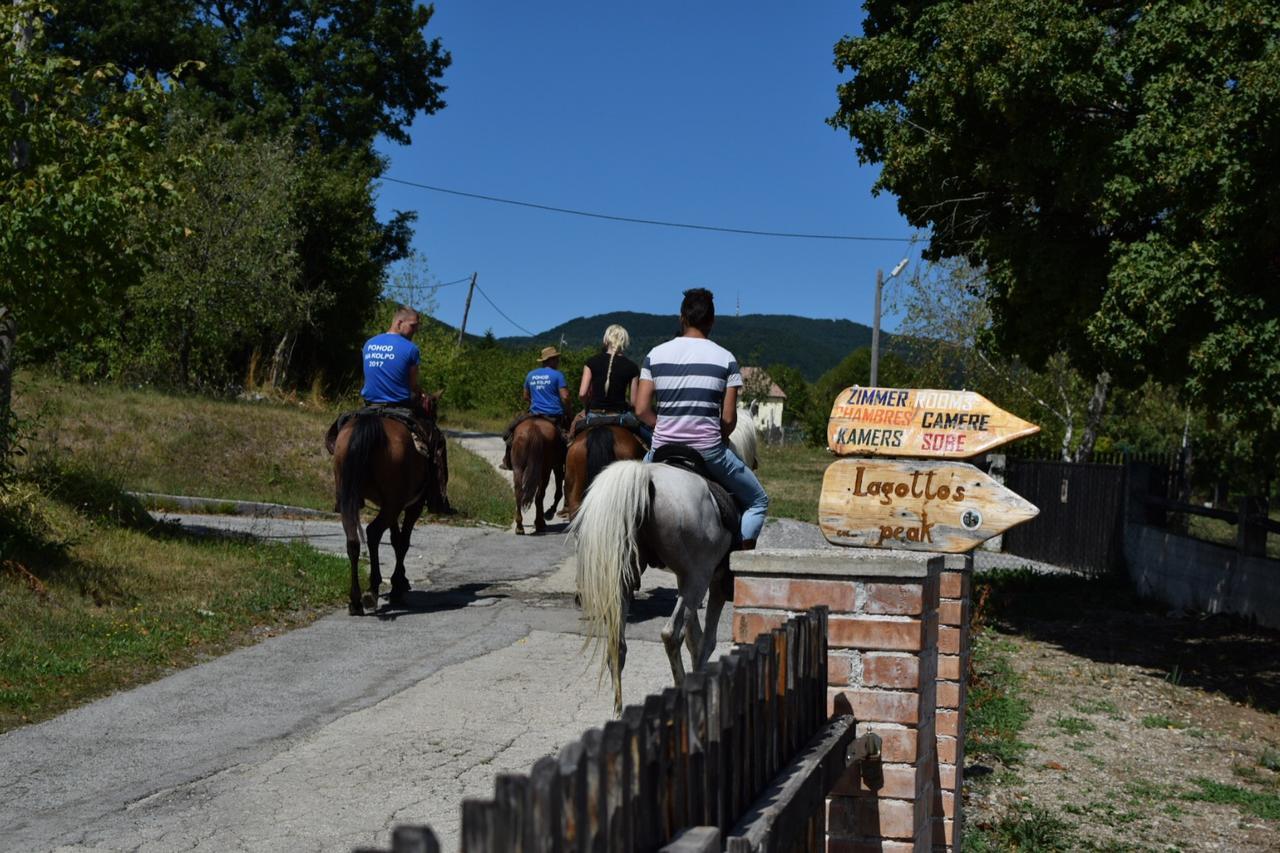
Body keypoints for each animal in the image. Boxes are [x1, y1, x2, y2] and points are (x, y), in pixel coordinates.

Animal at [330, 394, 445, 614]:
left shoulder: (391, 504)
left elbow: (394, 538)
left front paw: (400, 581)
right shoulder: (411, 505)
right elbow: (402, 542)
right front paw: (398, 585)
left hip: (353, 499)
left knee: (353, 540)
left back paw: (355, 600)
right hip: (395, 503)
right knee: (374, 532)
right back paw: (372, 590)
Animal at [570, 409, 757, 712]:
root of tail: (646, 479)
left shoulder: (687, 583)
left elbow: (695, 638)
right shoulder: (713, 583)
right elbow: (705, 640)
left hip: (627, 579)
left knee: (617, 643)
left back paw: (618, 710)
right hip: (697, 580)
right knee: (671, 634)